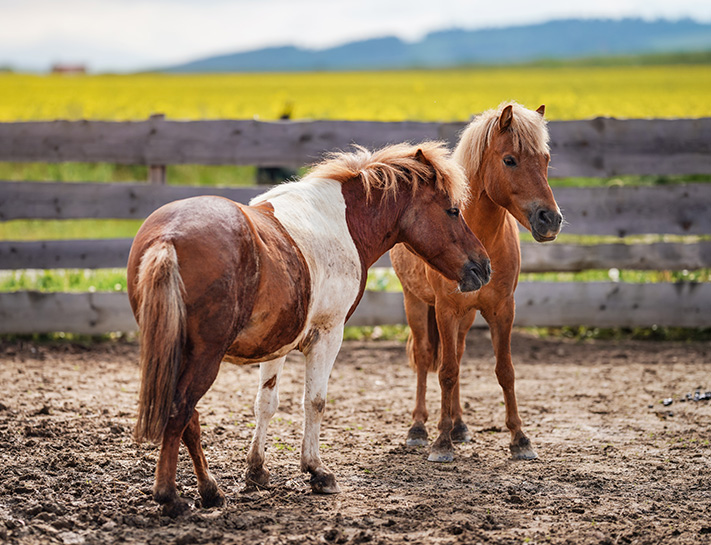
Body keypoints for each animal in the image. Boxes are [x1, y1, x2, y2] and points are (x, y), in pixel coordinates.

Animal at [128, 140, 492, 516]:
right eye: (453, 211)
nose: (483, 266)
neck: (340, 222)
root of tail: (169, 237)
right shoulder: (327, 335)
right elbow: (314, 401)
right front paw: (317, 471)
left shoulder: (277, 343)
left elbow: (266, 402)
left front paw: (256, 471)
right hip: (204, 357)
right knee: (180, 411)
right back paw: (170, 495)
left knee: (190, 418)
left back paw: (210, 490)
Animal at [392, 101, 564, 460]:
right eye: (509, 160)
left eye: (545, 159)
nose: (550, 219)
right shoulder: (445, 309)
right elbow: (445, 372)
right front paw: (441, 442)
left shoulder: (502, 309)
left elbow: (504, 370)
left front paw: (520, 438)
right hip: (415, 303)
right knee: (425, 357)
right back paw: (419, 428)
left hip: (467, 315)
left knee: (456, 353)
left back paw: (459, 425)